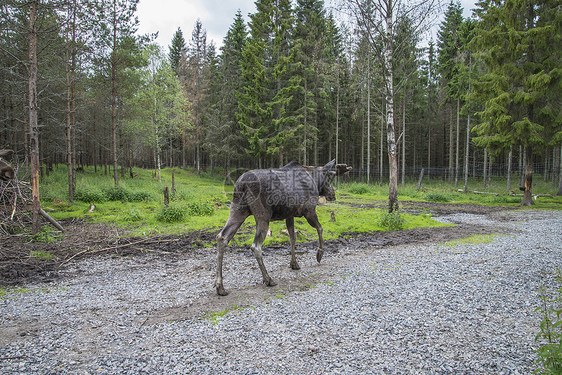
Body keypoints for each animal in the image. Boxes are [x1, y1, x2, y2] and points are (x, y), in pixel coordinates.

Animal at [214, 160, 350, 296]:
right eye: (328, 178)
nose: (333, 194)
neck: (315, 179)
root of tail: (242, 184)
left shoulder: (289, 215)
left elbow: (292, 238)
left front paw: (294, 263)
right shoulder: (309, 210)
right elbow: (320, 229)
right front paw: (319, 254)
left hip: (237, 209)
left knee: (222, 237)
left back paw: (220, 286)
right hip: (263, 215)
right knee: (255, 246)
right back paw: (268, 279)